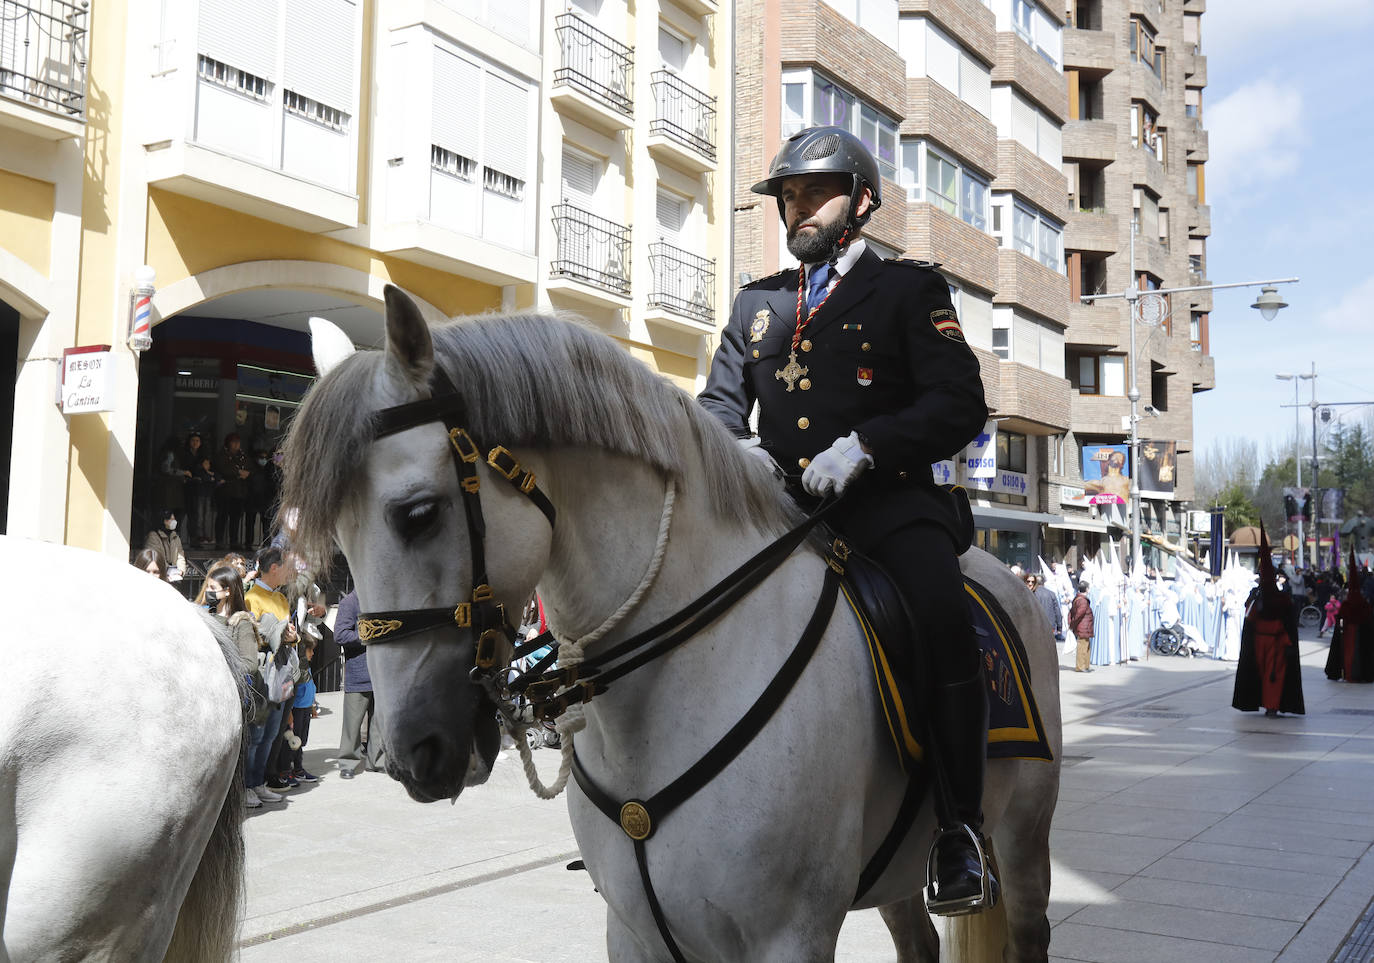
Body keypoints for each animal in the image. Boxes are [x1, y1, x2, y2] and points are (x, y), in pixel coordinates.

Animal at [281, 287, 1060, 961]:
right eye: (340, 539)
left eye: (417, 513)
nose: (411, 751)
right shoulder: (635, 931)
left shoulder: (789, 935)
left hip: (1023, 839)